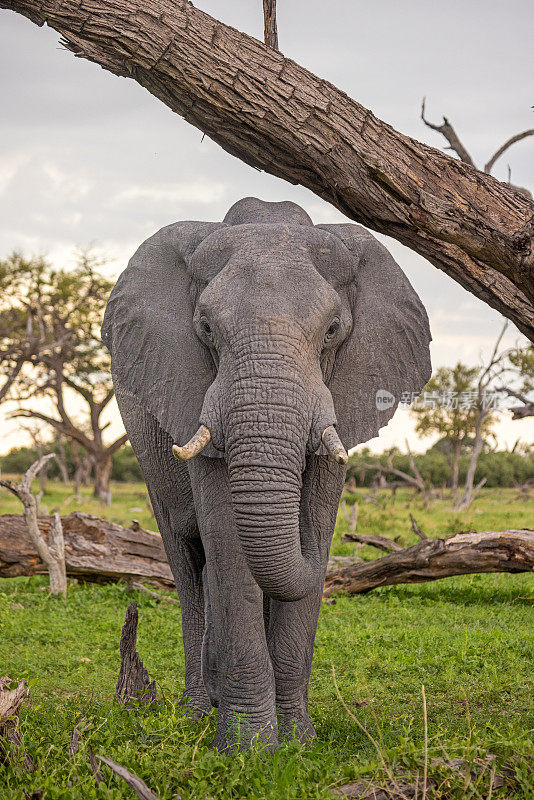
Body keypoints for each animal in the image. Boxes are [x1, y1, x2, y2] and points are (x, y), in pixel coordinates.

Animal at [102, 197, 434, 752]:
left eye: (332, 331)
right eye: (205, 328)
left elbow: (312, 526)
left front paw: (298, 743)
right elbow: (230, 547)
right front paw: (248, 751)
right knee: (188, 562)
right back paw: (198, 712)